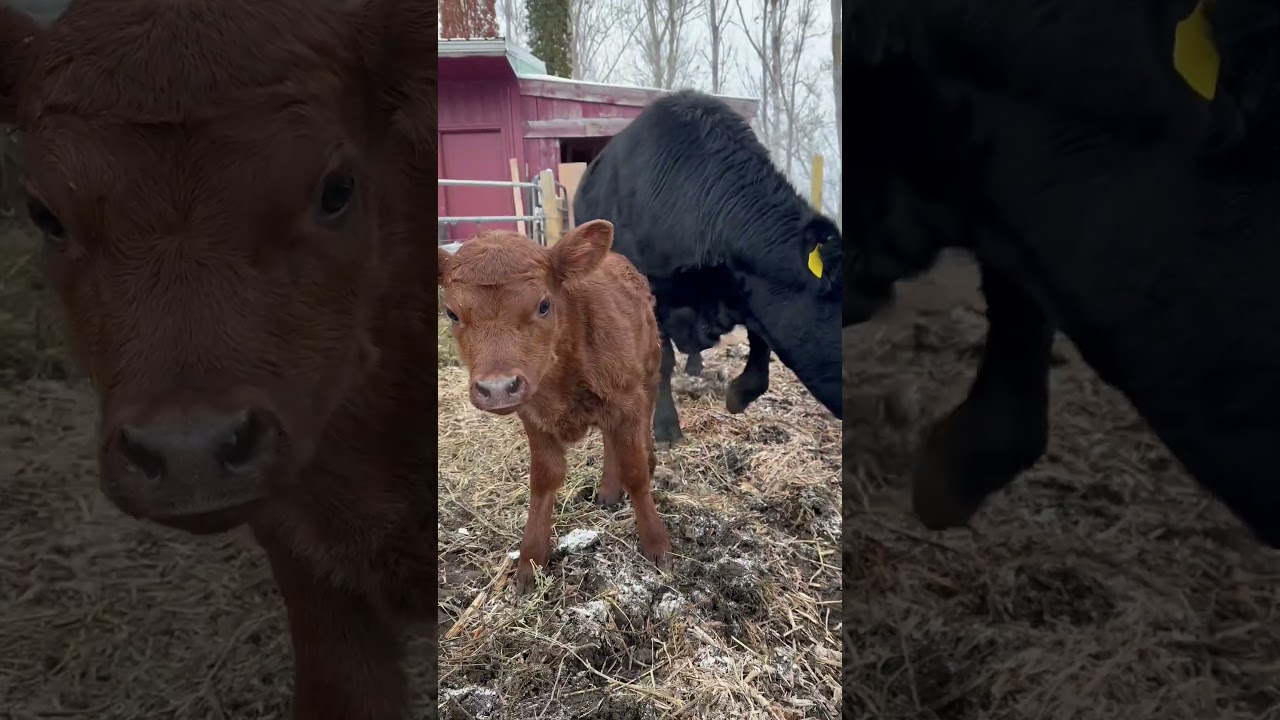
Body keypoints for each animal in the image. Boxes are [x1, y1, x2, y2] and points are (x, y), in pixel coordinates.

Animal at [437, 220, 672, 591]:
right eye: (452, 313)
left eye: (544, 305)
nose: (497, 388)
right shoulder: (532, 416)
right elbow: (544, 479)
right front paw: (530, 561)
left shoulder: (626, 399)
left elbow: (634, 472)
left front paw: (656, 544)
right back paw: (608, 491)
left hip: (648, 372)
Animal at [573, 90, 842, 446]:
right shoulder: (653, 289)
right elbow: (662, 361)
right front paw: (666, 427)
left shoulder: (746, 290)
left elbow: (761, 347)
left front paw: (739, 395)